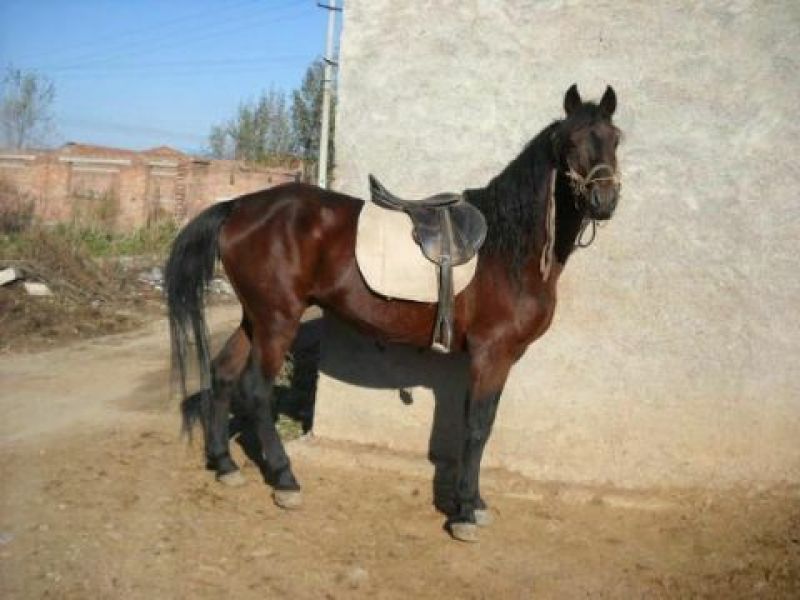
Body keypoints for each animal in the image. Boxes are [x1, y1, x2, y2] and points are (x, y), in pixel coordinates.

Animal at [164, 84, 622, 542]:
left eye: (616, 138)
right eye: (570, 142)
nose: (604, 201)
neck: (508, 249)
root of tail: (239, 206)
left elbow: (482, 425)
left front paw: (475, 504)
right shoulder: (491, 353)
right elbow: (477, 428)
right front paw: (463, 513)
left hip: (255, 317)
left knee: (223, 374)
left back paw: (224, 464)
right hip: (278, 320)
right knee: (256, 391)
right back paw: (285, 480)